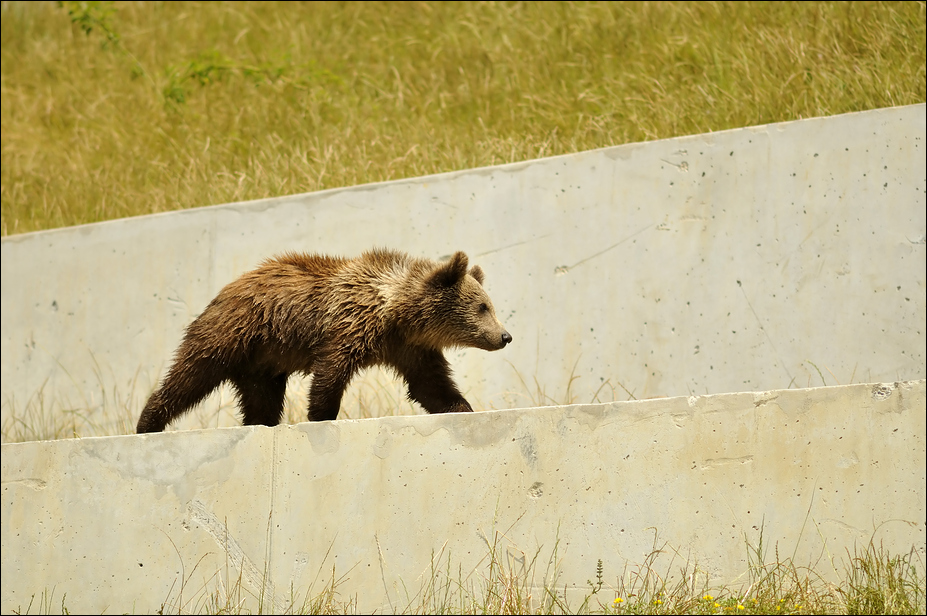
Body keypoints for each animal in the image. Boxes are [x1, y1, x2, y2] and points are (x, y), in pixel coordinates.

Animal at [136, 249, 511, 433]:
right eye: (483, 306)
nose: (505, 335)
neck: (394, 314)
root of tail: (229, 287)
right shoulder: (349, 327)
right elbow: (330, 373)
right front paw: (321, 417)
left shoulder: (411, 349)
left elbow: (431, 386)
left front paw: (463, 408)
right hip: (234, 333)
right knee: (192, 373)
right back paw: (148, 422)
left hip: (263, 364)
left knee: (261, 401)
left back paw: (259, 424)